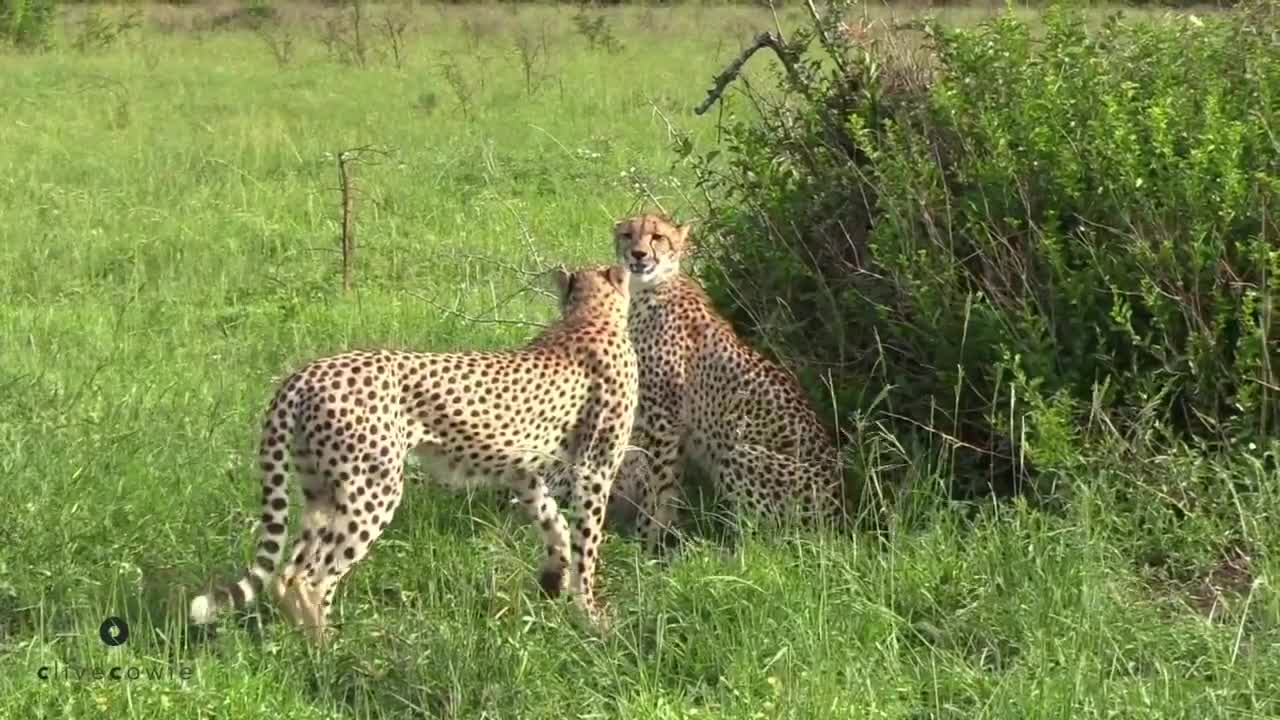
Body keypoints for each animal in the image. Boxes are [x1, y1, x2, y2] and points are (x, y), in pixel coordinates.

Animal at [189, 263, 640, 638]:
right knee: (310, 576)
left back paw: (305, 640)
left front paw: (553, 577)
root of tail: (304, 374)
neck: (588, 314)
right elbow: (587, 542)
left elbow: (554, 521)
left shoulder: (521, 470)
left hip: (321, 489)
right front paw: (590, 615)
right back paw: (328, 649)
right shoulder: (594, 469)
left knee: (291, 570)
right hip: (373, 490)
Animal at [614, 212, 844, 548]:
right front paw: (661, 535)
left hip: (737, 452)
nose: (639, 255)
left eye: (657, 237)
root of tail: (840, 514)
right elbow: (669, 484)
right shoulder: (675, 430)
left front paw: (645, 540)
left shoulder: (665, 421)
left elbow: (659, 483)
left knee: (768, 535)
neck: (649, 288)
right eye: (627, 235)